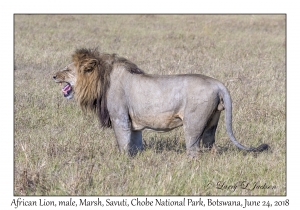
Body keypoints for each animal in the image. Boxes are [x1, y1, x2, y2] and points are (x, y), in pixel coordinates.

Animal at [53, 47, 270, 156]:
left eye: (67, 69)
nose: (54, 76)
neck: (101, 80)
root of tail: (218, 84)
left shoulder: (120, 118)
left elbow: (123, 143)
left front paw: (121, 161)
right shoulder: (134, 123)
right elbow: (136, 144)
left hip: (193, 124)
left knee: (193, 149)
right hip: (211, 123)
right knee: (211, 147)